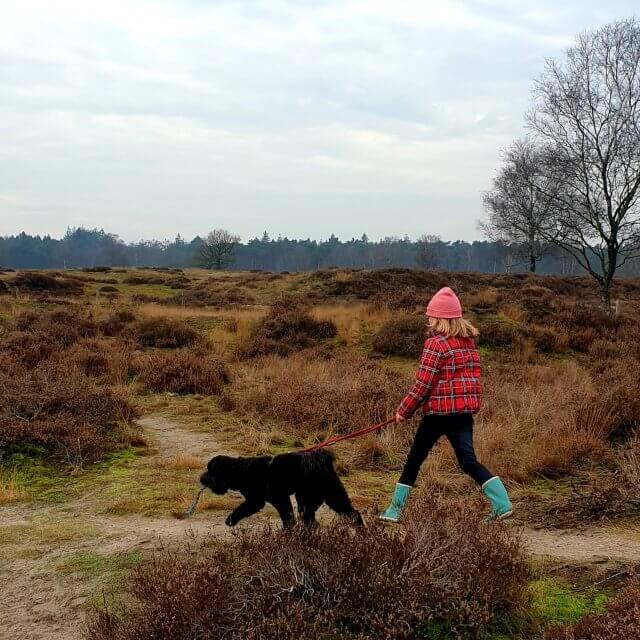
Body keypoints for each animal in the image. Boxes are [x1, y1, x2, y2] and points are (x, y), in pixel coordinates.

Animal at [201, 448, 360, 528]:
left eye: (210, 471)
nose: (201, 479)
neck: (241, 471)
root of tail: (322, 458)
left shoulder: (269, 499)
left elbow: (242, 509)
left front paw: (231, 519)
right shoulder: (271, 500)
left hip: (319, 497)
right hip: (327, 496)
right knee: (352, 514)